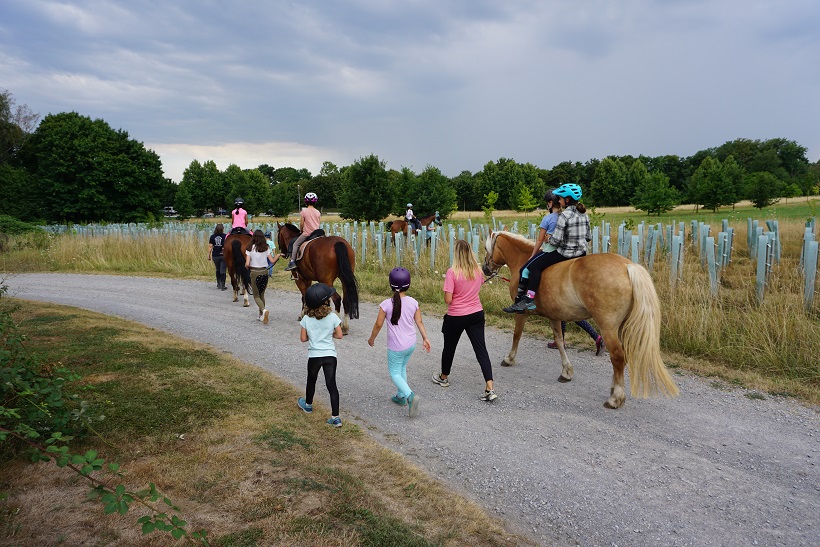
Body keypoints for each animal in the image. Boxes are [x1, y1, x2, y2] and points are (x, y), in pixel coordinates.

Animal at [483, 231, 679, 409]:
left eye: (487, 248)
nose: (485, 269)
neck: (523, 258)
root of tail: (627, 266)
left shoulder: (521, 313)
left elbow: (516, 335)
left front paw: (509, 359)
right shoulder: (555, 316)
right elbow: (559, 341)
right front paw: (566, 372)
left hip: (608, 327)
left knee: (617, 357)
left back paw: (615, 398)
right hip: (622, 327)